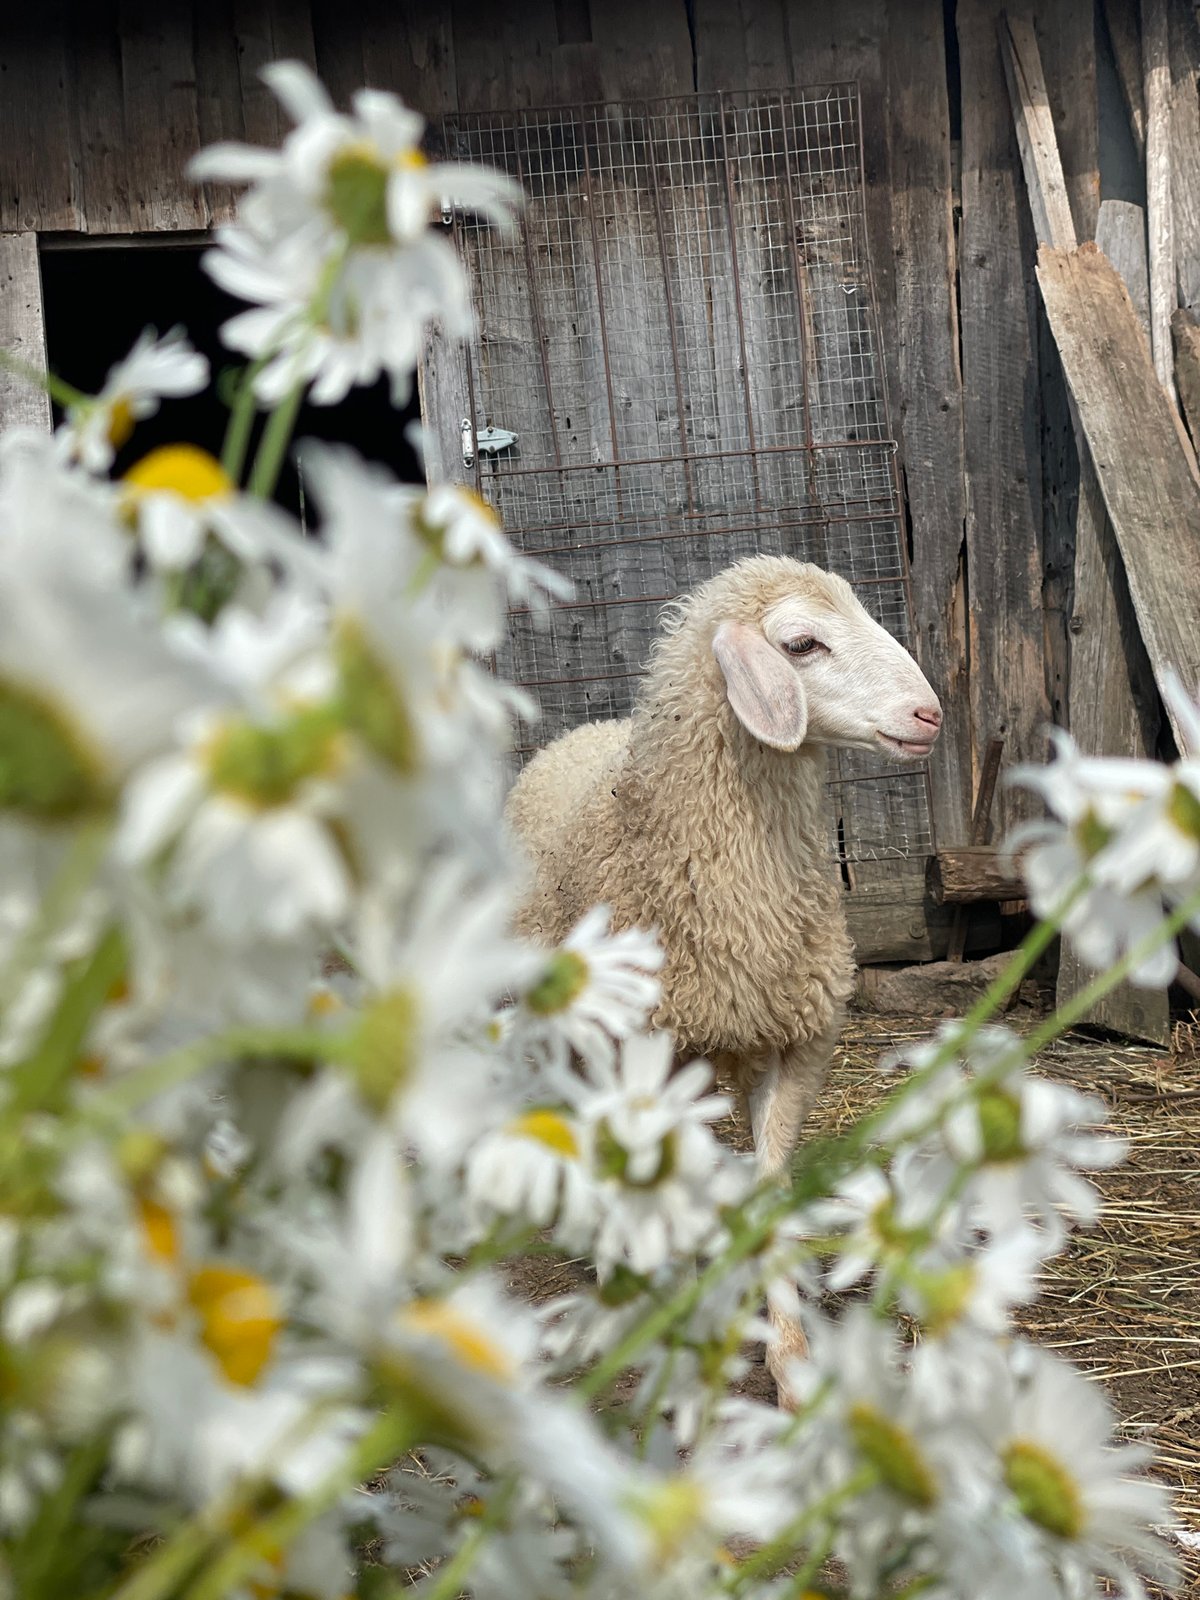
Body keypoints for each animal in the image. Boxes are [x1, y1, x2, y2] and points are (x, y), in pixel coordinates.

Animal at [505, 555, 942, 1398]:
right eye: (802, 644)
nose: (929, 714)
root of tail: (582, 730)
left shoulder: (793, 1045)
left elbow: (767, 1194)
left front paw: (791, 1356)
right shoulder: (651, 1054)